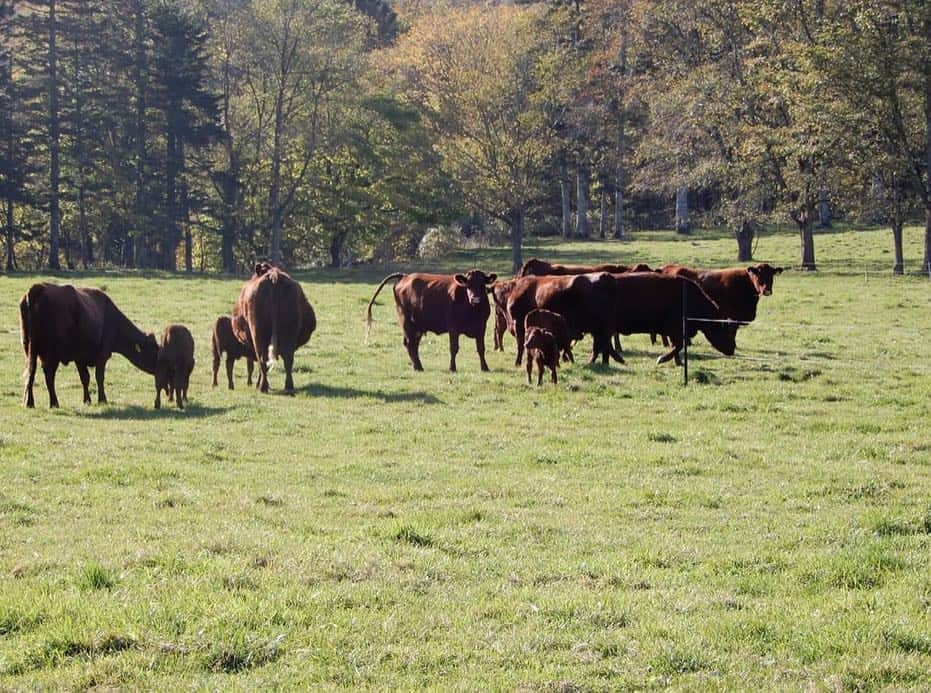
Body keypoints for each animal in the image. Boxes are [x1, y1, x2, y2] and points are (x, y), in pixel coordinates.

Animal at [18, 284, 158, 408]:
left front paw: (87, 400)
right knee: (49, 375)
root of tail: (37, 288)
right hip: (51, 354)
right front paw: (102, 400)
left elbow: (85, 378)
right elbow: (99, 377)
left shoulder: (79, 358)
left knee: (31, 372)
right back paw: (54, 403)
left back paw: (29, 402)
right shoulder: (102, 355)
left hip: (29, 350)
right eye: (153, 351)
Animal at [232, 264, 316, 394]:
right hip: (288, 333)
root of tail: (274, 276)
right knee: (288, 359)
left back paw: (262, 387)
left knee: (262, 358)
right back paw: (288, 387)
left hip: (258, 333)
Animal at [364, 268, 498, 370]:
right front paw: (452, 368)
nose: (475, 299)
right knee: (410, 343)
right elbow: (454, 348)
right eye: (467, 285)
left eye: (482, 285)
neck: (473, 311)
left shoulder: (482, 327)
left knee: (413, 344)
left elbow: (481, 348)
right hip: (406, 321)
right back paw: (418, 367)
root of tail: (405, 276)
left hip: (417, 326)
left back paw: (418, 366)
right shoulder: (453, 328)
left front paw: (485, 368)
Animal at [596, 272, 744, 368]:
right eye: (726, 330)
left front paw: (679, 362)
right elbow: (678, 345)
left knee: (605, 343)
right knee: (606, 343)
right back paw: (618, 359)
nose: (732, 349)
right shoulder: (676, 330)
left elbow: (677, 346)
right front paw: (662, 359)